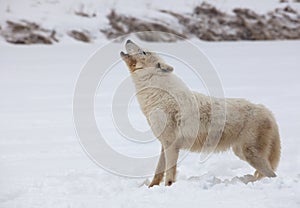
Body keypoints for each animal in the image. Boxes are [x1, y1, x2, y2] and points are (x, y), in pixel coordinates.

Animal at [120, 39, 280, 187]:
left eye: (143, 52)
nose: (128, 39)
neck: (158, 95)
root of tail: (267, 111)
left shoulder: (171, 145)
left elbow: (169, 176)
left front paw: (168, 189)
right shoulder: (164, 144)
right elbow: (158, 172)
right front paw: (151, 188)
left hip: (249, 154)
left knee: (273, 175)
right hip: (242, 153)